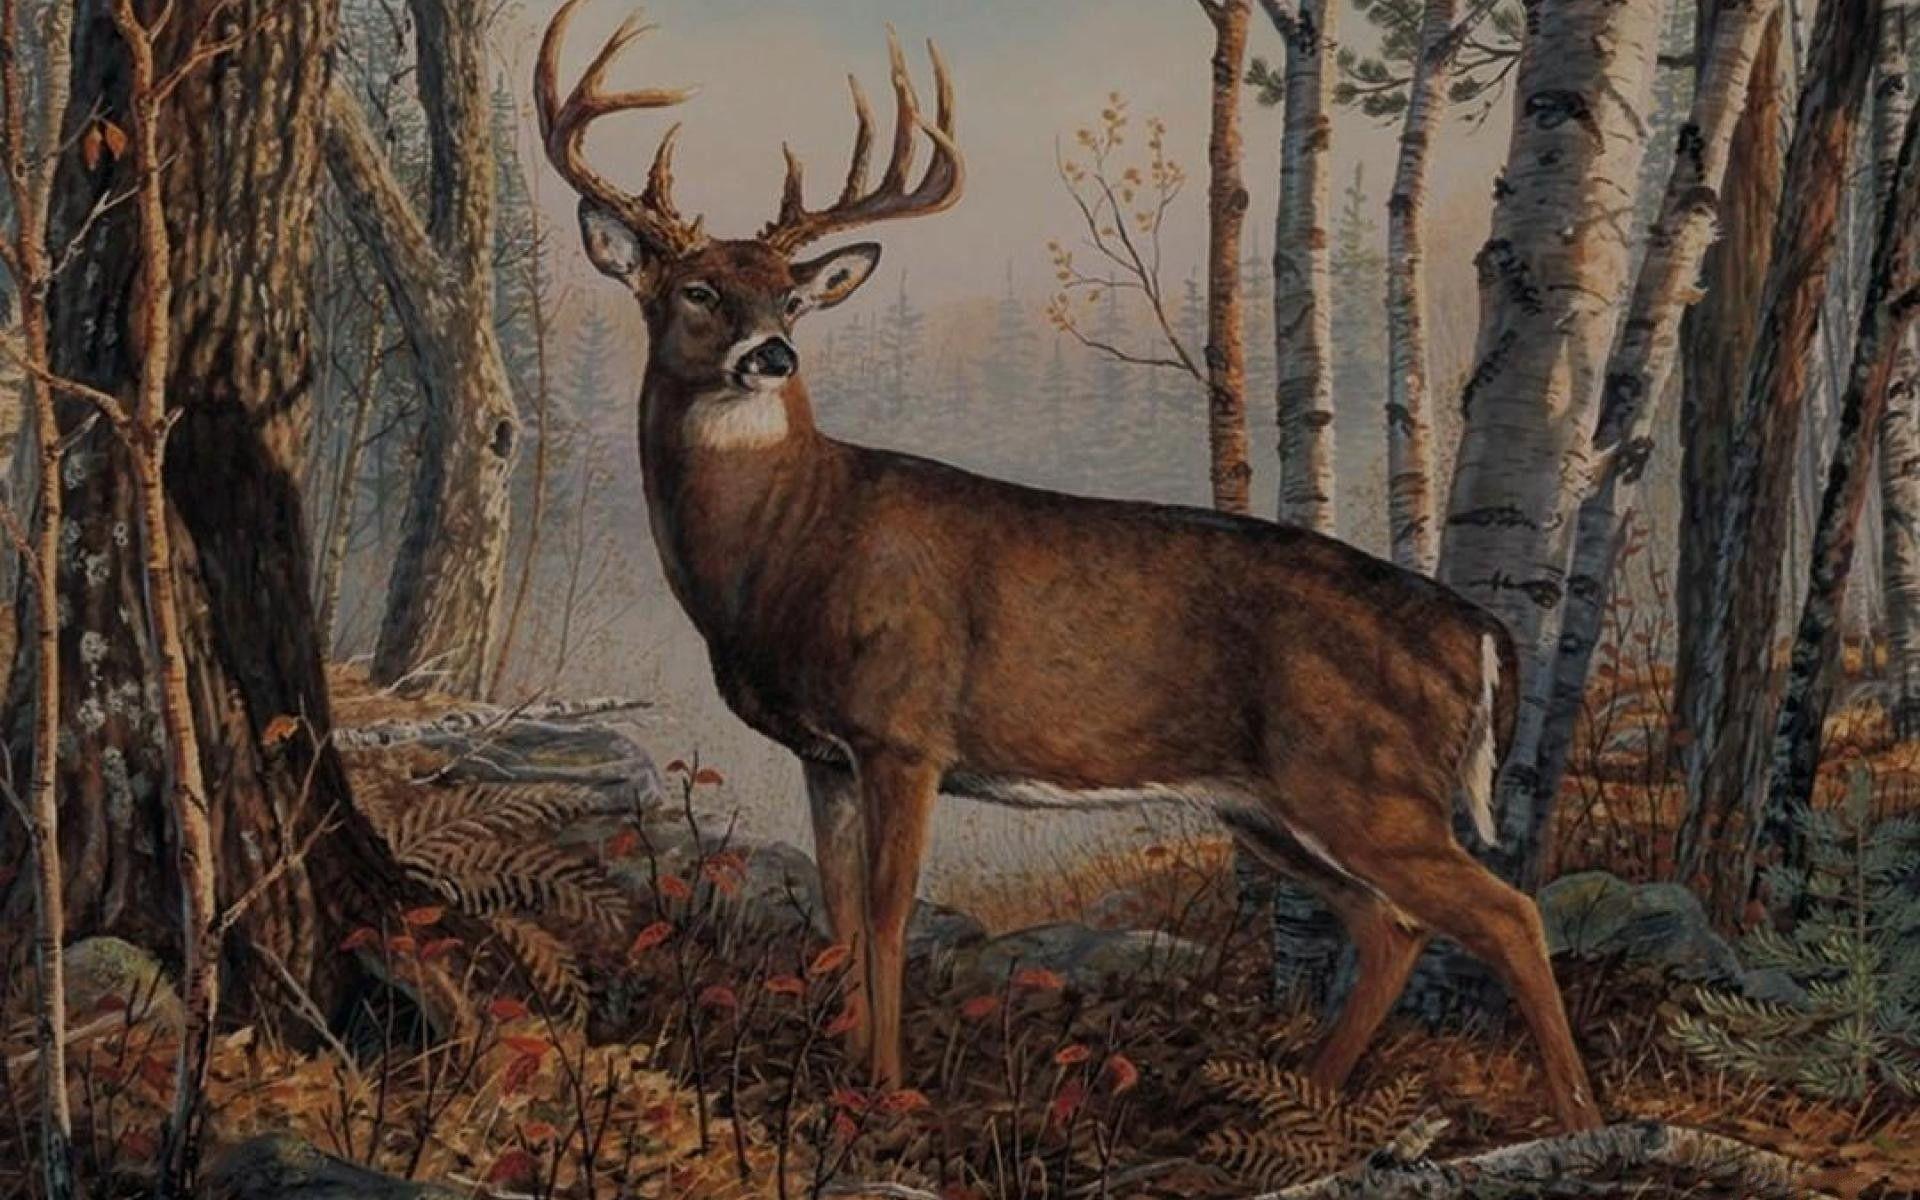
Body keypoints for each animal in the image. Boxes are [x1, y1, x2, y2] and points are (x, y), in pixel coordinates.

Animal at [535, 0, 1601, 1132]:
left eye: (792, 296)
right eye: (697, 289)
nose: (772, 355)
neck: (785, 549)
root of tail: (1480, 631)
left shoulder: (904, 729)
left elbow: (888, 911)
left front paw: (890, 1091)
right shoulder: (824, 751)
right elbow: (839, 908)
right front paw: (843, 1077)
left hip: (1364, 781)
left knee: (1506, 910)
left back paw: (1582, 1119)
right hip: (1270, 804)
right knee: (1390, 923)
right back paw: (1302, 1098)